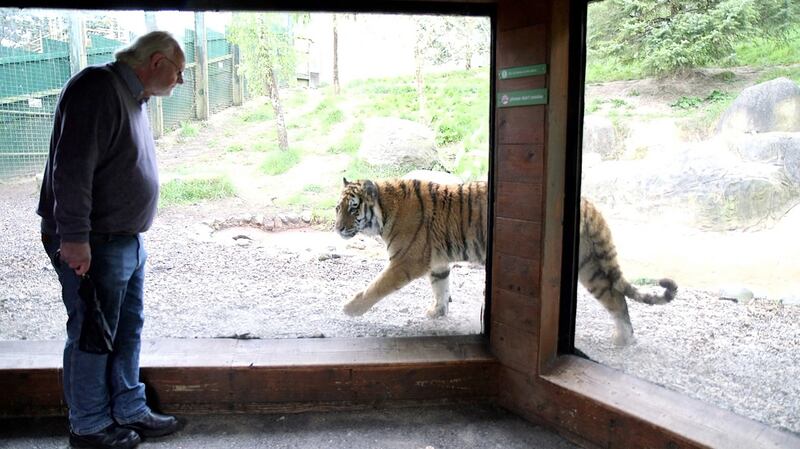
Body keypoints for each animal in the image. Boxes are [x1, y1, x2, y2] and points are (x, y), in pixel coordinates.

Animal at [334, 177, 680, 344]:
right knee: (616, 295)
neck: (384, 210)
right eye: (337, 208)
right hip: (590, 262)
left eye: (353, 208)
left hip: (586, 266)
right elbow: (441, 287)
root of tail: (588, 202)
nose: (337, 228)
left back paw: (623, 340)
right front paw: (437, 312)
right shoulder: (438, 261)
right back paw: (625, 337)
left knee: (616, 298)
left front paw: (350, 309)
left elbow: (375, 287)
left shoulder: (405, 261)